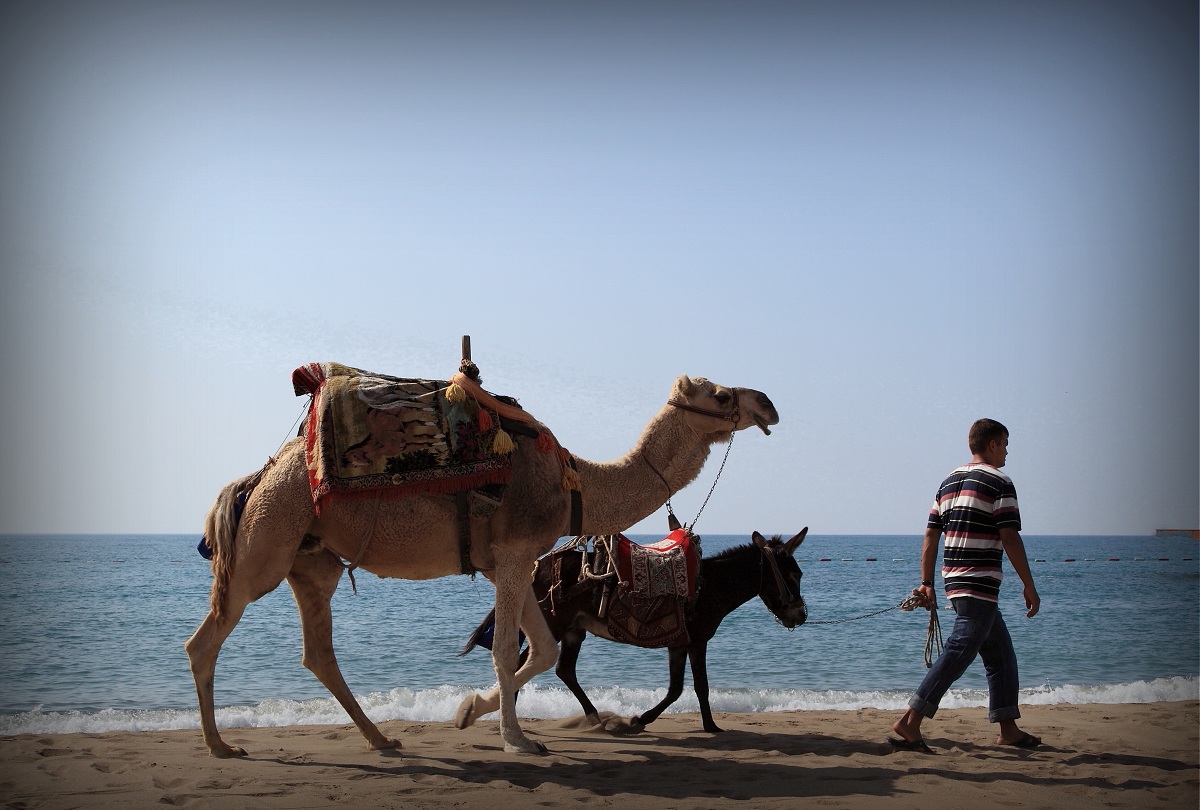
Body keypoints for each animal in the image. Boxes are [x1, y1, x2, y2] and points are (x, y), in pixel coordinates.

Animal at [180, 369, 777, 758]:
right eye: (722, 393)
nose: (768, 403)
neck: (573, 484)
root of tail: (259, 475)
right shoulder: (513, 554)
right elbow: (507, 650)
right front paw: (516, 740)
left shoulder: (509, 562)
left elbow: (542, 650)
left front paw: (469, 711)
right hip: (266, 545)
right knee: (206, 638)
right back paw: (220, 745)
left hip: (311, 562)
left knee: (318, 652)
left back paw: (381, 739)